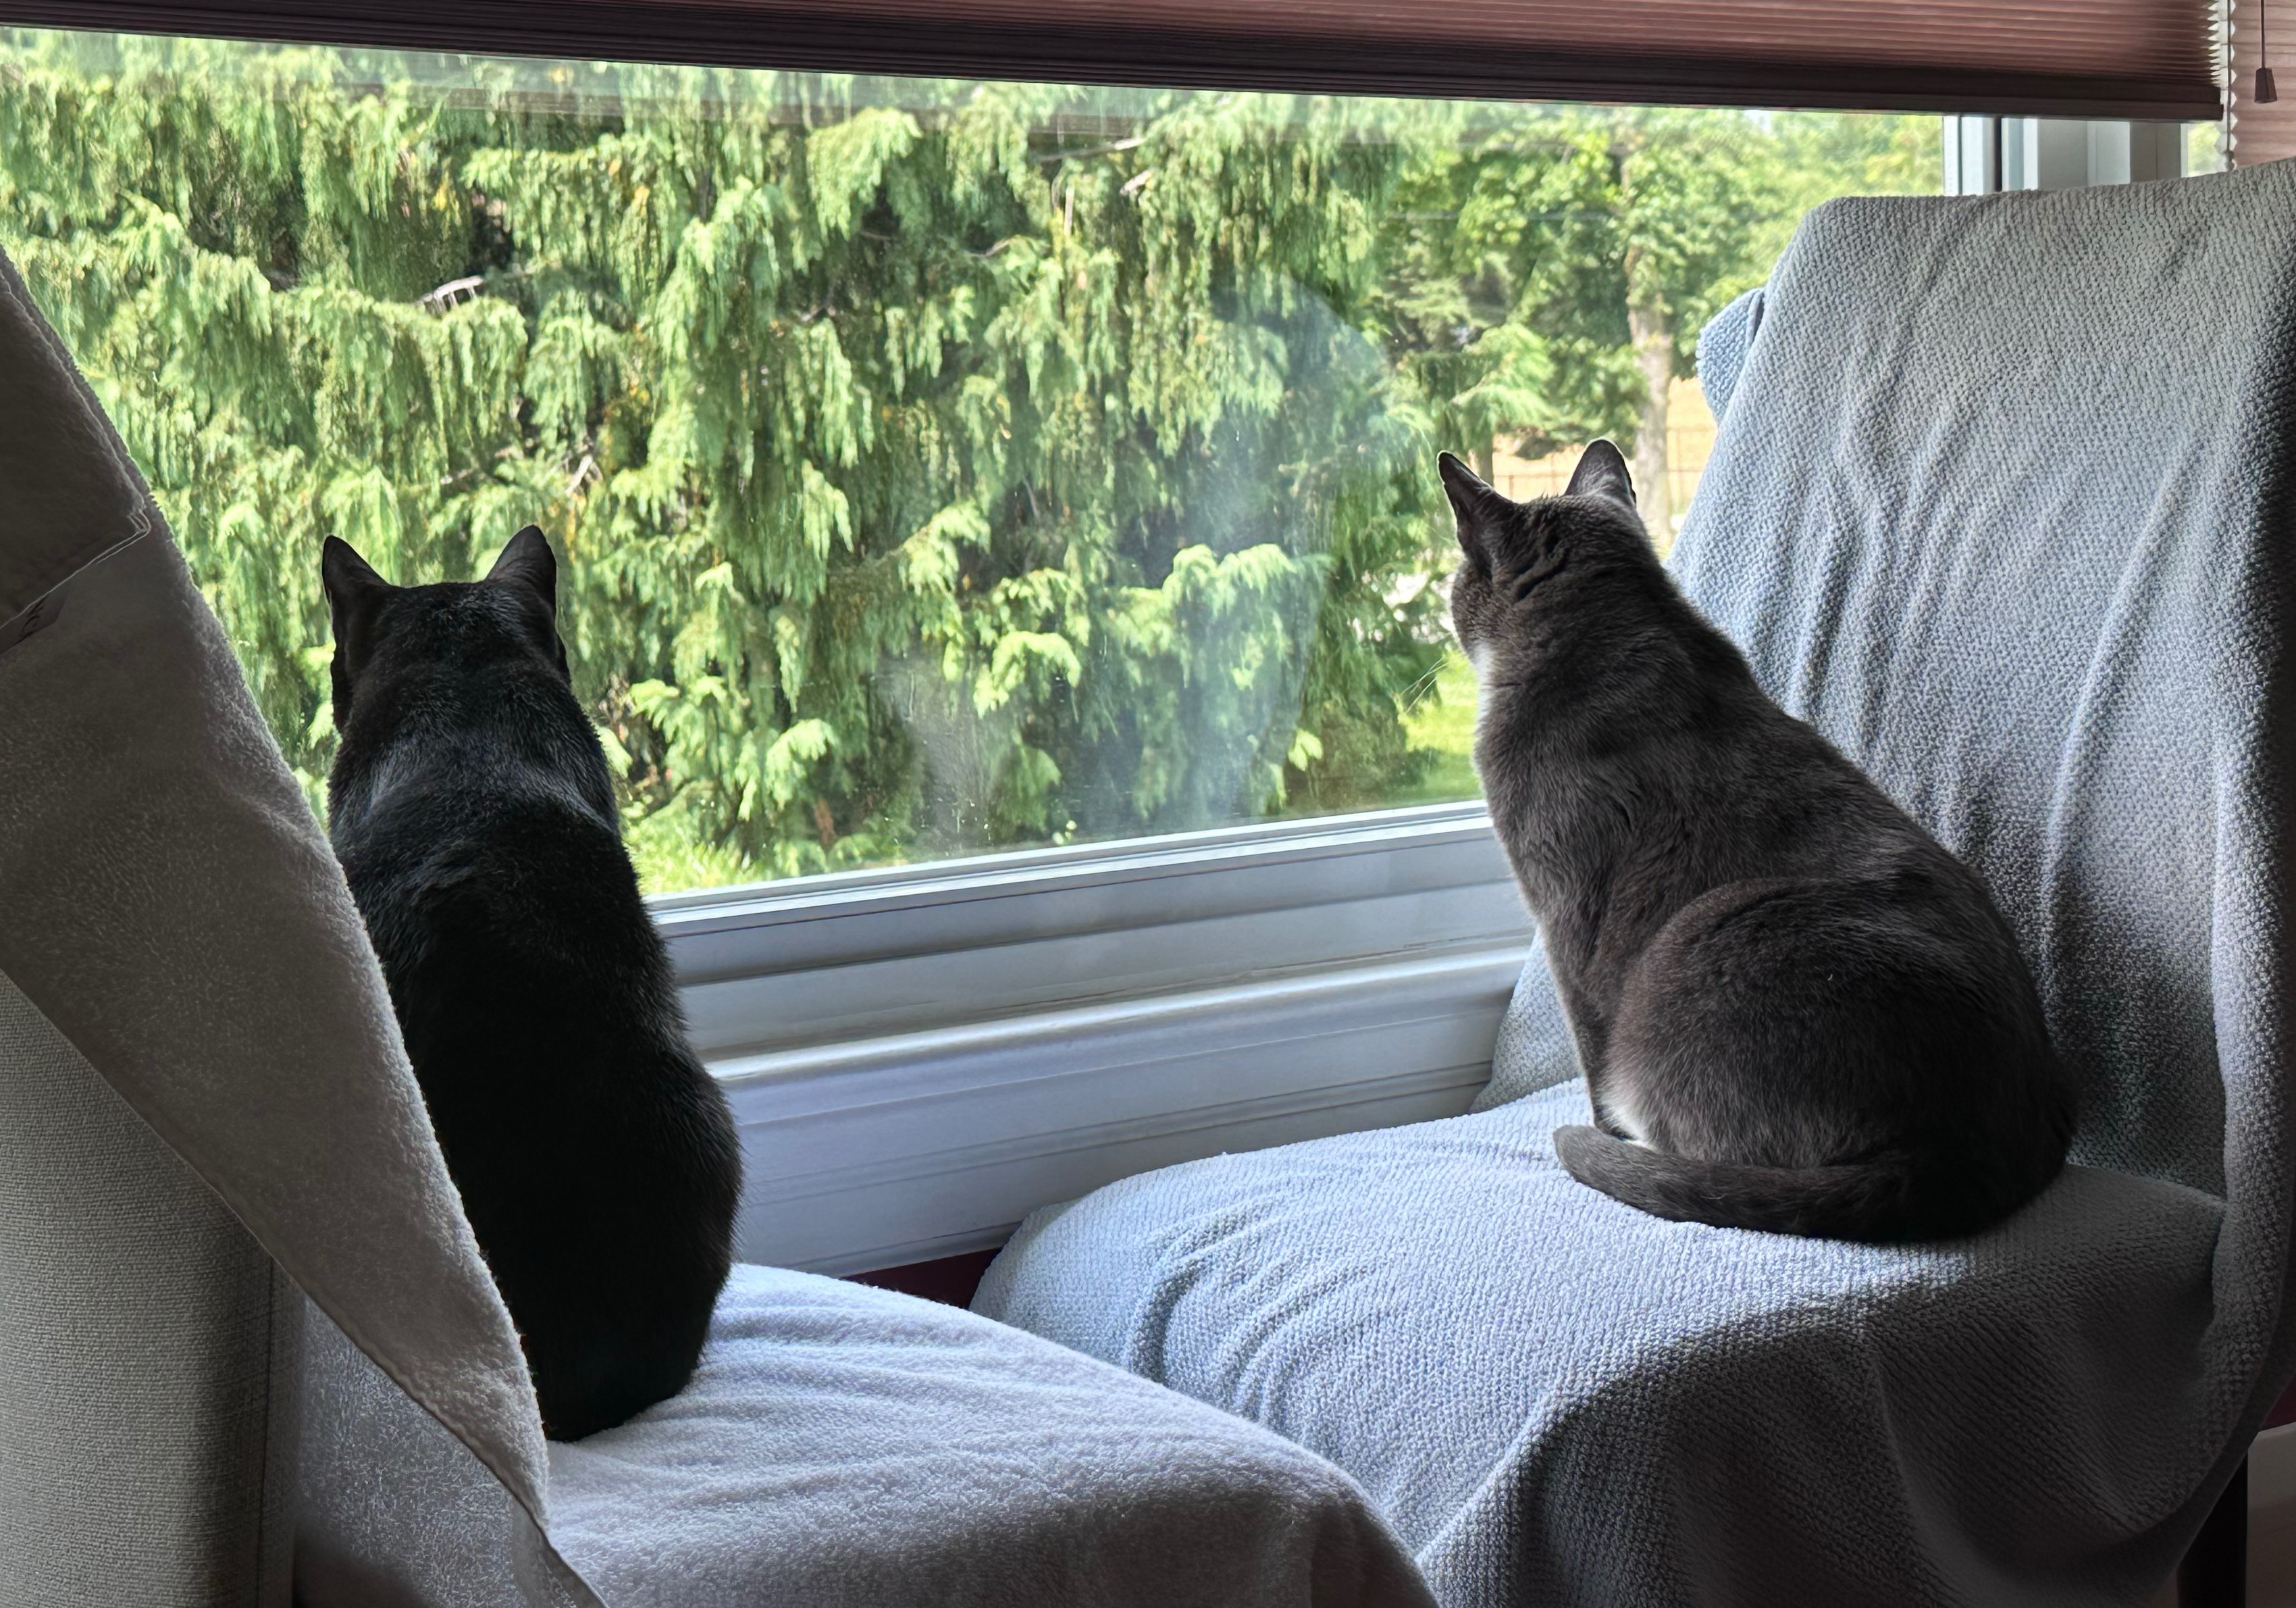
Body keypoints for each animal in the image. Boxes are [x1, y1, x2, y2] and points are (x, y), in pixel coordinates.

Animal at [1441, 442, 2074, 1243]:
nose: (1447, 601)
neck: (1613, 629)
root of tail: (1965, 1157)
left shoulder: (1566, 918)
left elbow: (1587, 1042)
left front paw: (1604, 1127)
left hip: (1703, 949)